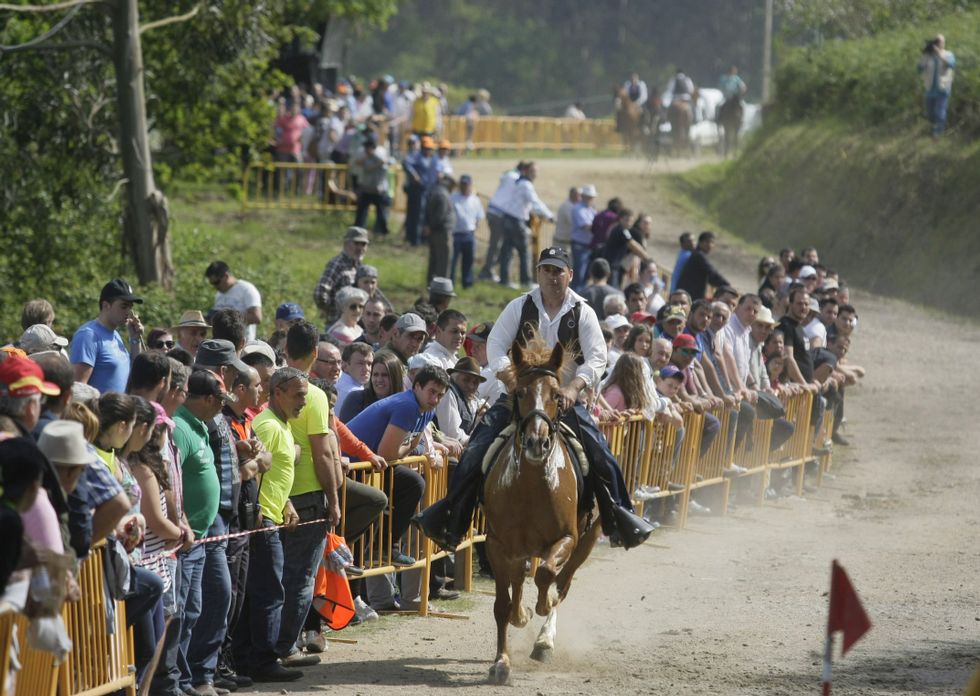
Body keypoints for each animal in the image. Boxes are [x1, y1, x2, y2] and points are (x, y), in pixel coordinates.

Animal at [484, 334, 604, 684]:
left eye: (555, 395)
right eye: (521, 392)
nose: (537, 443)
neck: (530, 488)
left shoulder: (568, 538)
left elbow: (547, 575)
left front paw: (542, 607)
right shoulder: (497, 544)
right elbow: (502, 603)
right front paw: (501, 662)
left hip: (588, 540)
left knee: (562, 582)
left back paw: (544, 639)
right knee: (520, 578)